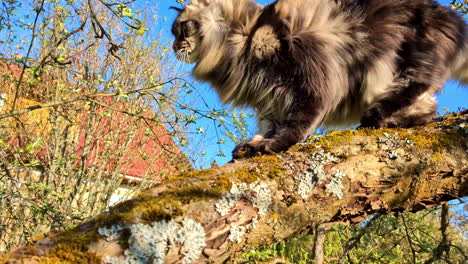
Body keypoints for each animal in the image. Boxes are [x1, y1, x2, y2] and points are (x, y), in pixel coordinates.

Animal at [171, 0, 468, 158]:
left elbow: (297, 123)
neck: (241, 36)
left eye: (181, 28)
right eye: (174, 31)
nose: (174, 46)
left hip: (412, 58)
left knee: (416, 87)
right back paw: (394, 120)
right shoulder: (270, 98)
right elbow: (268, 125)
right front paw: (253, 144)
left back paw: (376, 116)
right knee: (428, 107)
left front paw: (274, 145)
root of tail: (453, 17)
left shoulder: (309, 78)